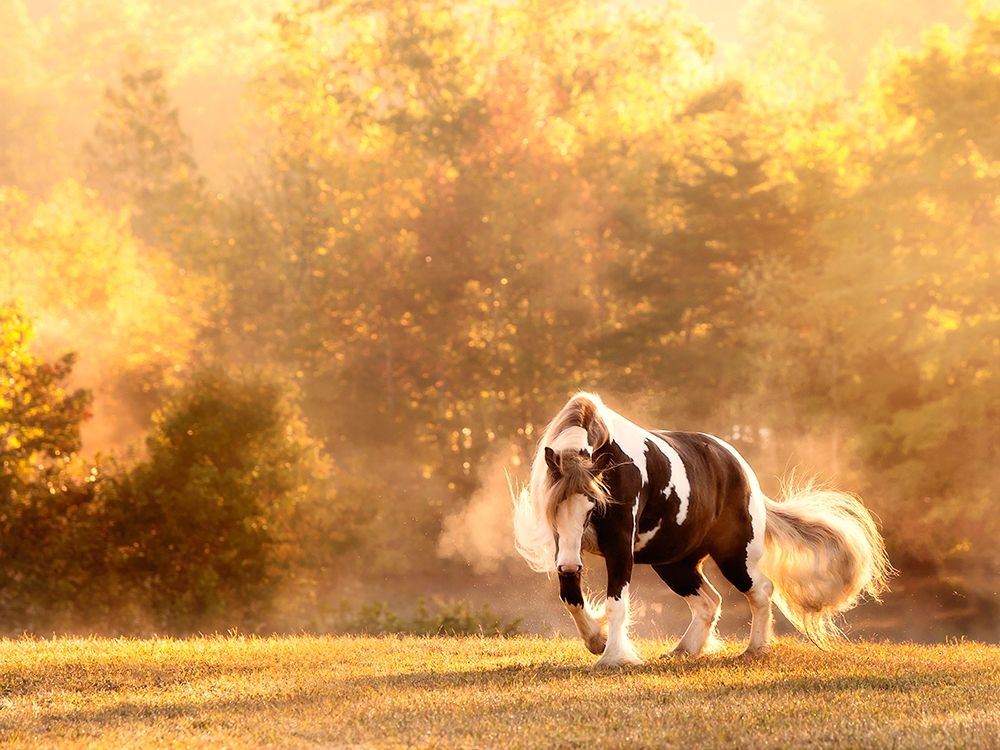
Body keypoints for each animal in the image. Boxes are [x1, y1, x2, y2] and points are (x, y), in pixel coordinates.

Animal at [512, 392, 892, 667]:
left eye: (594, 506)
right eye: (554, 509)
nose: (569, 565)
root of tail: (743, 471)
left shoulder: (619, 548)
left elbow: (616, 603)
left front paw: (614, 657)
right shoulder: (565, 547)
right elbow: (571, 597)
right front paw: (597, 641)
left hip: (734, 556)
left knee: (760, 590)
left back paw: (755, 649)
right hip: (674, 563)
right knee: (710, 601)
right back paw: (684, 650)